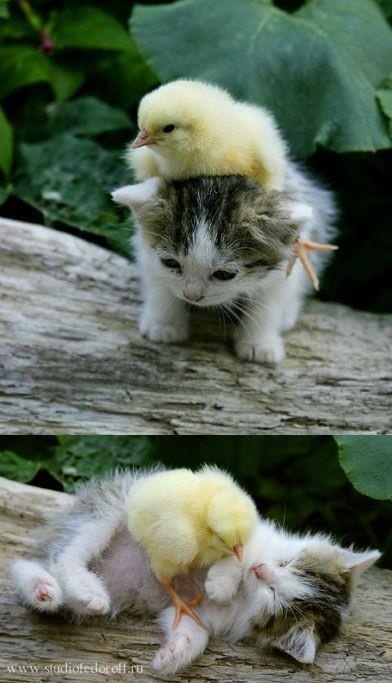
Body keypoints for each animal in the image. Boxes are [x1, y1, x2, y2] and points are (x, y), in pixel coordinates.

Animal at [10, 470, 378, 672]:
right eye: (285, 564)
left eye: (274, 596)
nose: (260, 571)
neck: (245, 596)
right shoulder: (251, 532)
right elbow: (237, 552)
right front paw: (223, 578)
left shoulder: (203, 615)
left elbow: (193, 632)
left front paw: (174, 655)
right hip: (110, 510)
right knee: (66, 555)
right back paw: (83, 587)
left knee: (45, 573)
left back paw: (45, 590)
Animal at [112, 162, 336, 364]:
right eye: (171, 263)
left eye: (224, 275)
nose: (192, 296)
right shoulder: (148, 254)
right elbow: (159, 282)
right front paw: (164, 325)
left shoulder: (283, 268)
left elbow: (269, 301)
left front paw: (260, 344)